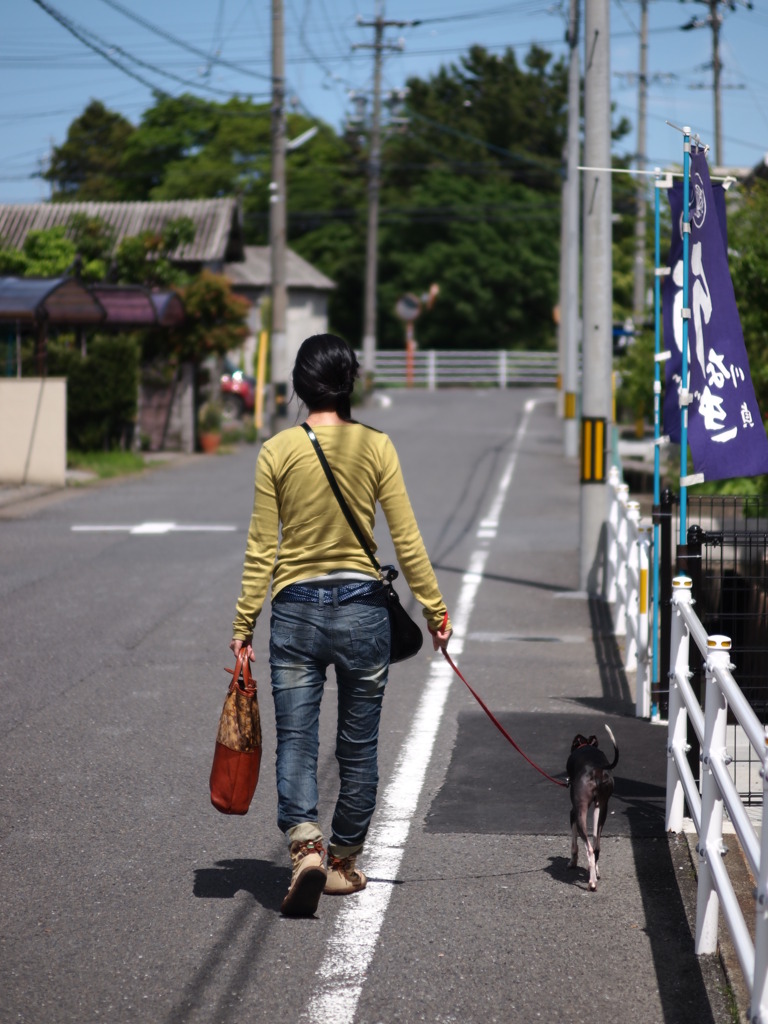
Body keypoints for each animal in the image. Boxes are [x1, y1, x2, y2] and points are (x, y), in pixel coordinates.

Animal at [569, 729, 622, 888]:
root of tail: (597, 769)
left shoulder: (573, 813)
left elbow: (574, 844)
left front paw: (572, 862)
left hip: (581, 812)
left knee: (590, 849)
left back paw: (591, 882)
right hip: (602, 807)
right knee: (596, 847)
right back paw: (594, 875)